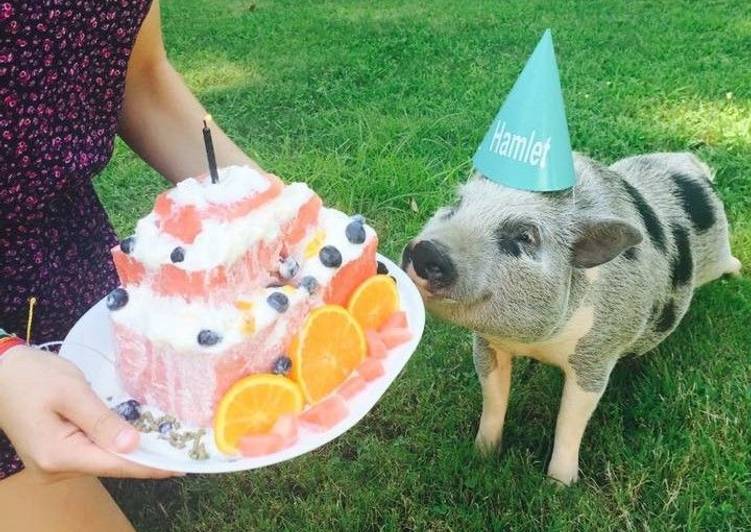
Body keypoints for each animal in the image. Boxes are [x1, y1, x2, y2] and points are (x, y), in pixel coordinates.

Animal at [402, 152, 744, 484]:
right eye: (456, 206)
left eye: (524, 236)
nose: (428, 250)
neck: (538, 344)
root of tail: (691, 165)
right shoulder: (488, 343)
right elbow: (494, 398)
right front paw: (482, 454)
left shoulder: (597, 353)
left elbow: (571, 419)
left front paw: (559, 485)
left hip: (717, 252)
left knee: (728, 261)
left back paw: (738, 274)